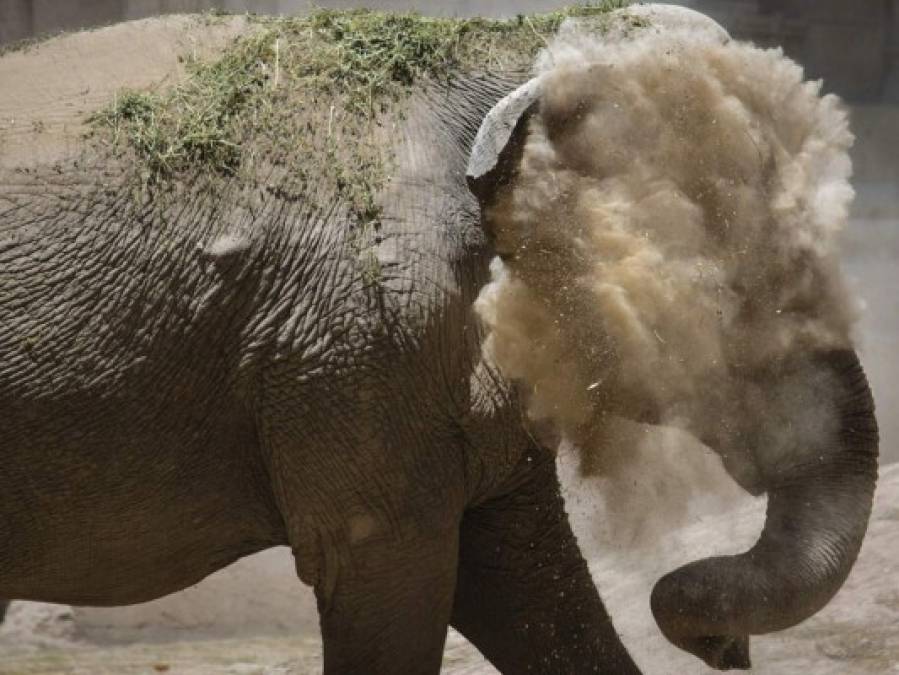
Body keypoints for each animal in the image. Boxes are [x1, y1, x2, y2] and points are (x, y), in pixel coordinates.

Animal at [0, 5, 880, 675]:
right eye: (726, 294)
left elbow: (526, 579)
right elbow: (397, 572)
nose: (726, 649)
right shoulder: (359, 343)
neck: (496, 49)